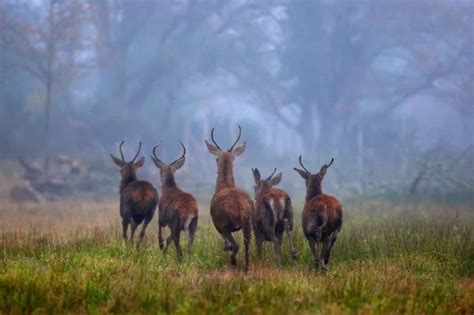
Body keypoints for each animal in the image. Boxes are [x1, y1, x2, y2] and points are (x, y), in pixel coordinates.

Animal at [206, 126, 254, 272]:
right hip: (248, 224)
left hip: (225, 225)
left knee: (236, 245)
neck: (224, 186)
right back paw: (246, 267)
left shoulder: (217, 224)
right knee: (247, 245)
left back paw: (234, 263)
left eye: (216, 158)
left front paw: (226, 248)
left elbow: (228, 243)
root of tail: (240, 209)